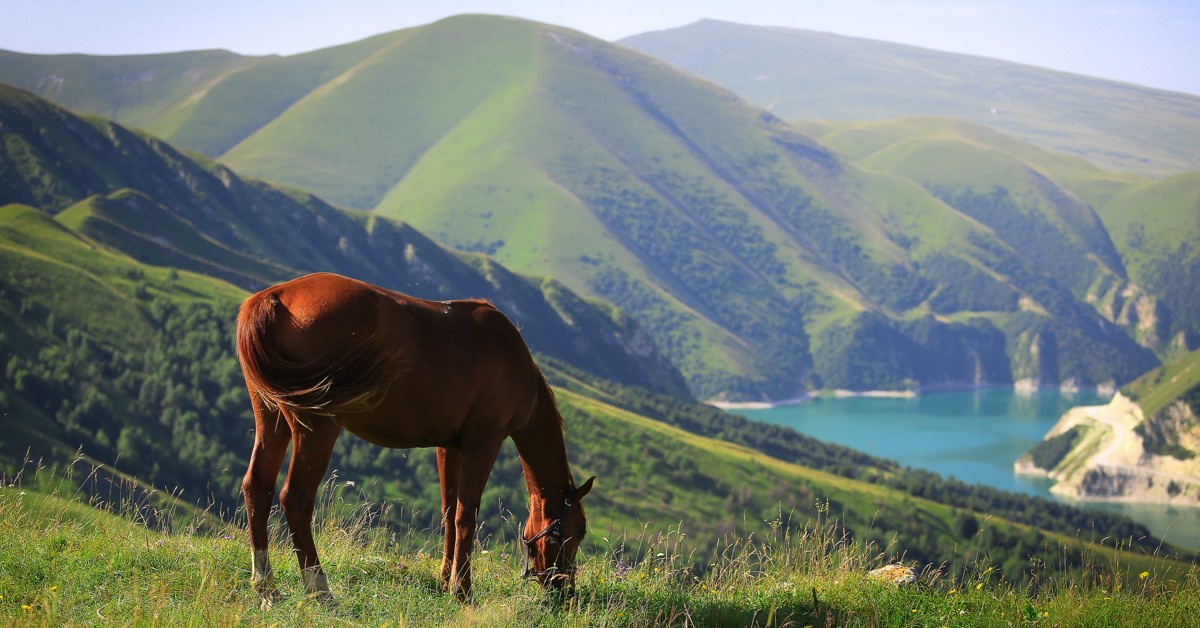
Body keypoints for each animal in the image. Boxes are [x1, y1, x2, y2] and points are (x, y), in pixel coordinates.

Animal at [234, 272, 595, 607]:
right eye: (579, 530)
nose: (566, 591)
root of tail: (273, 298)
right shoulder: (484, 442)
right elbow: (466, 516)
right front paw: (463, 592)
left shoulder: (450, 447)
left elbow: (449, 512)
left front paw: (445, 581)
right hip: (317, 428)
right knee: (295, 498)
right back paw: (320, 591)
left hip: (272, 417)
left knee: (258, 487)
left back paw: (267, 588)